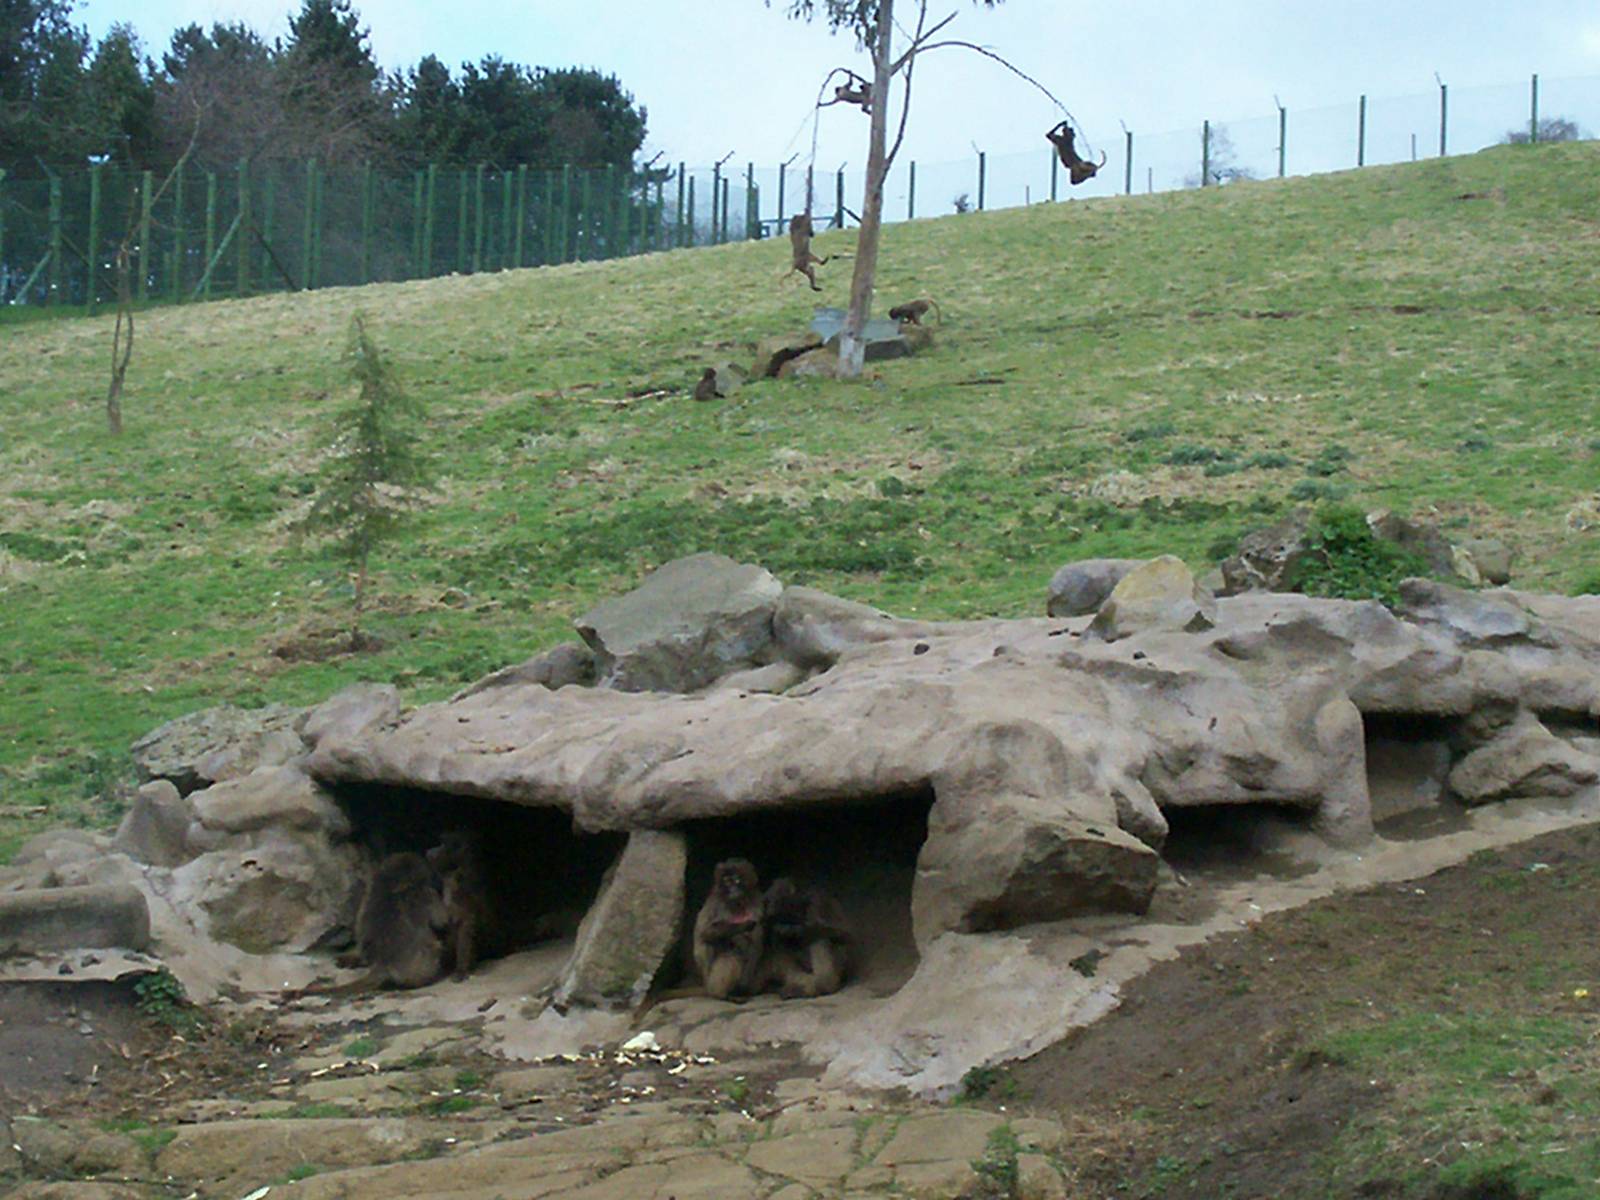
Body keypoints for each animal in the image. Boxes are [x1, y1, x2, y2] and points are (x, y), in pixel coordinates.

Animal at [692, 858, 766, 999]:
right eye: (727, 881)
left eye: (737, 880)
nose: (733, 890)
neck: (737, 905)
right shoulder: (716, 902)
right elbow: (704, 932)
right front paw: (742, 928)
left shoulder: (756, 903)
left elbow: (756, 944)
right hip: (710, 978)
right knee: (727, 956)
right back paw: (722, 995)